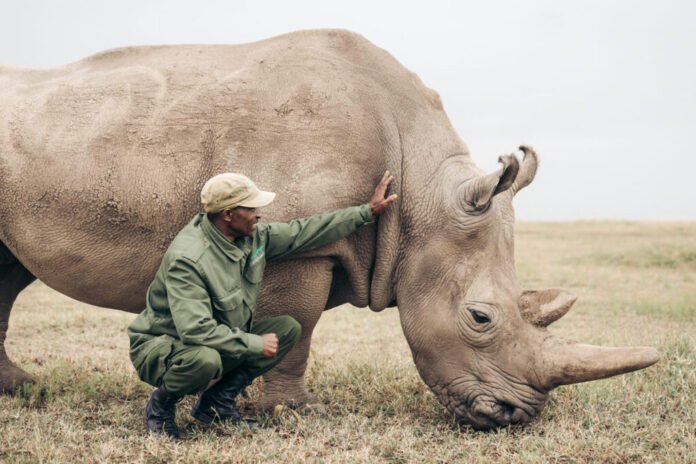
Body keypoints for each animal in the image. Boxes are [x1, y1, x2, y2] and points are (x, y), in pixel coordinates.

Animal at [0, 29, 659, 429]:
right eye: (479, 318)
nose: (515, 415)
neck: (420, 191)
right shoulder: (300, 250)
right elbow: (299, 326)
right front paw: (294, 413)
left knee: (7, 275)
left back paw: (22, 390)